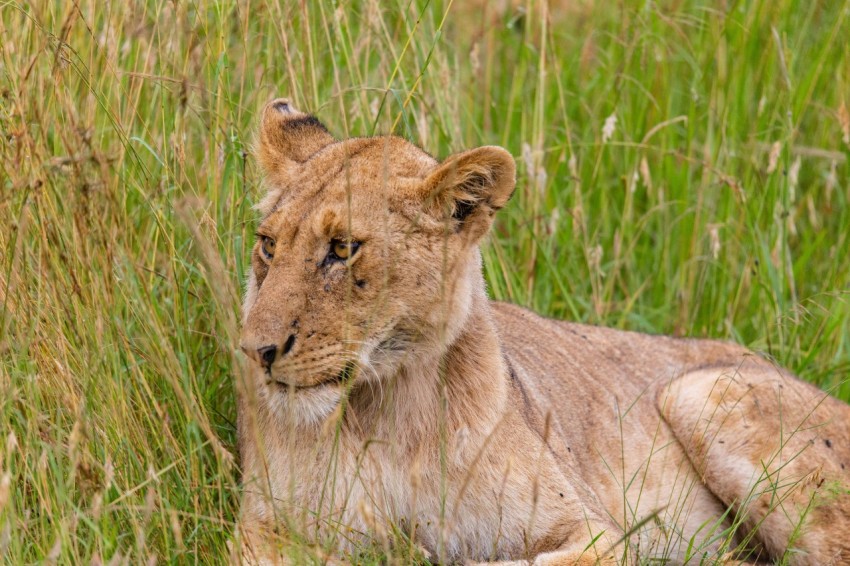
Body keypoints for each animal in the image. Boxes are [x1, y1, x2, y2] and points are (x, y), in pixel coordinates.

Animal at [235, 100, 848, 564]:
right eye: (268, 245)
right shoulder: (257, 527)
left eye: (342, 249)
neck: (383, 415)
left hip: (704, 391)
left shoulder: (597, 534)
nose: (255, 351)